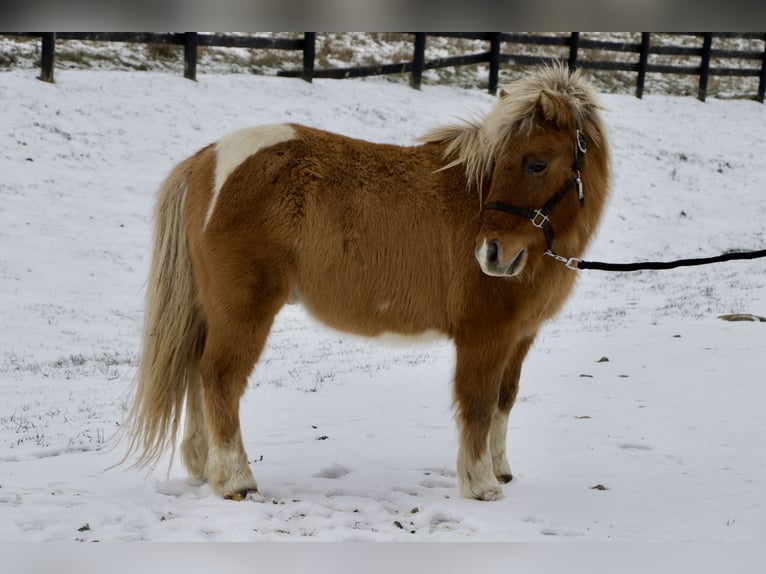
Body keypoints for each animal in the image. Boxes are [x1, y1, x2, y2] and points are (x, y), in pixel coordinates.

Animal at [122, 63, 610, 502]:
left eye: (536, 163)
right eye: (500, 163)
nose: (492, 254)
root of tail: (207, 158)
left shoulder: (519, 337)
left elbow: (504, 401)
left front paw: (501, 471)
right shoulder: (484, 336)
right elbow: (479, 404)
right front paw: (481, 484)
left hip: (212, 309)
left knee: (195, 371)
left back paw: (204, 466)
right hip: (243, 310)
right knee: (219, 376)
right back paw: (235, 480)